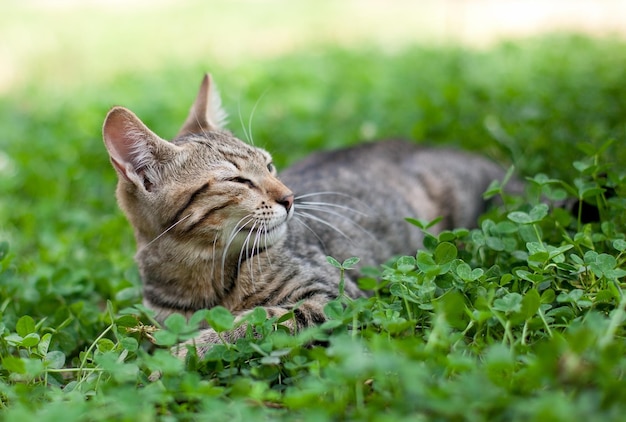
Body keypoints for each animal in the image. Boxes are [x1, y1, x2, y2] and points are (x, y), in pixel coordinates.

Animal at [102, 74, 512, 358]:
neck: (203, 275)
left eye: (269, 165)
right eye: (238, 179)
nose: (289, 197)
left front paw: (189, 350)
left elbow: (260, 321)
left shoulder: (331, 296)